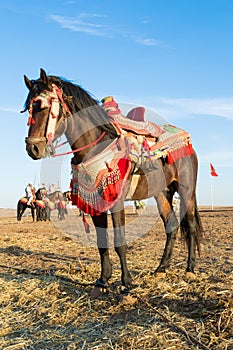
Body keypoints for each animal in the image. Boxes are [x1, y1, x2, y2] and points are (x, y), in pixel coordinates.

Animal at [22, 67, 203, 296]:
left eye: (44, 106)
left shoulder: (116, 201)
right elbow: (102, 243)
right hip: (162, 193)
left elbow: (119, 242)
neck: (95, 145)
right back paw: (161, 269)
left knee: (191, 226)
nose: (33, 148)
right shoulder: (95, 202)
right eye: (28, 109)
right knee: (171, 226)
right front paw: (102, 280)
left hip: (186, 189)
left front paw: (126, 282)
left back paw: (190, 269)